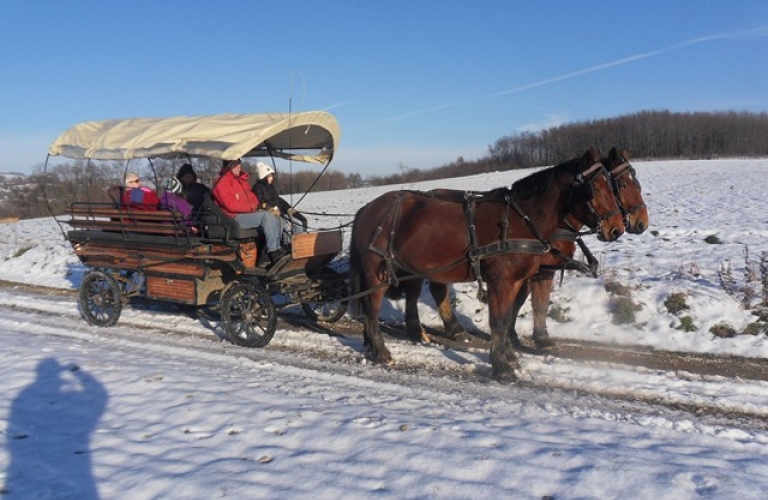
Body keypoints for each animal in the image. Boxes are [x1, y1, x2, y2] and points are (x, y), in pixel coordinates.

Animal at [352, 148, 628, 382]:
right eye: (595, 189)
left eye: (612, 186)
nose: (616, 229)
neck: (522, 218)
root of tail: (366, 209)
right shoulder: (501, 281)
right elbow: (499, 321)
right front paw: (502, 367)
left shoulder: (517, 281)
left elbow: (507, 318)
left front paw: (509, 356)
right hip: (377, 273)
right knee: (372, 309)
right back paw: (381, 351)